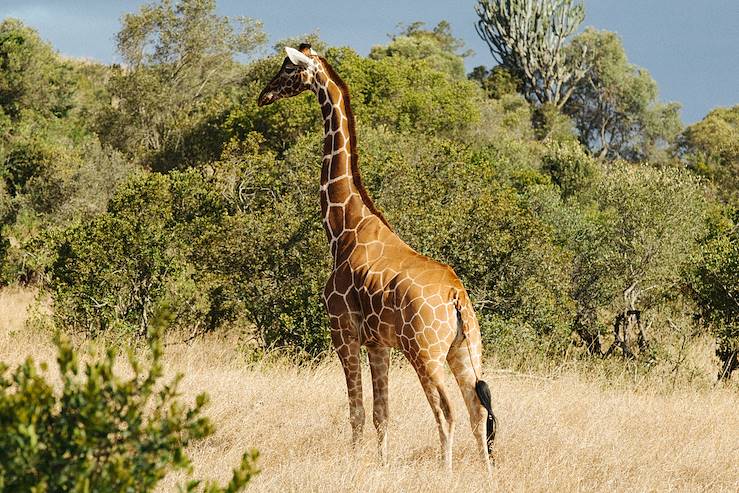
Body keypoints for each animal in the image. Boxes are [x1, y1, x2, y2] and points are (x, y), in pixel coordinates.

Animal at [258, 44, 498, 470]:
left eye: (287, 68)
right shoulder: (378, 343)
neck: (344, 227)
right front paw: (381, 465)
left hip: (425, 354)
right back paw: (486, 476)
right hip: (465, 351)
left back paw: (446, 472)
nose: (262, 96)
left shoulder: (343, 331)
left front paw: (354, 463)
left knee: (447, 411)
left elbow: (356, 410)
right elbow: (381, 413)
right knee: (477, 411)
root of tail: (456, 297)